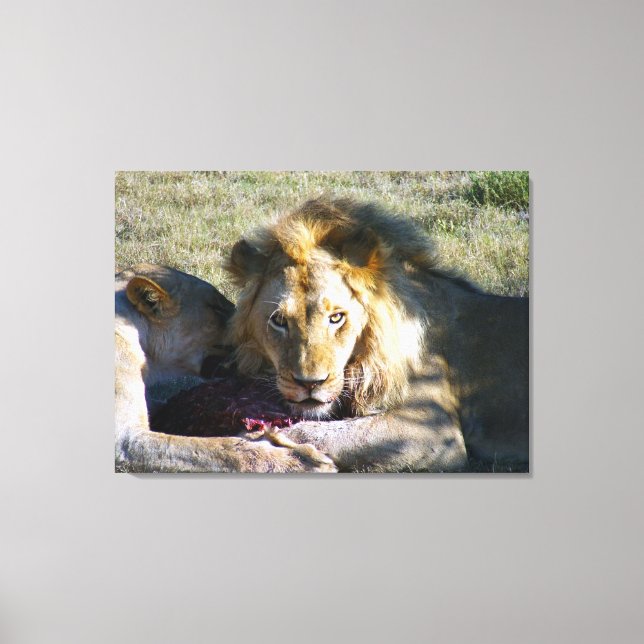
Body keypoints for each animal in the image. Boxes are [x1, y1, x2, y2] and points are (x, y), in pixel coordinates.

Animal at [225, 198, 529, 472]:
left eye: (336, 317)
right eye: (279, 321)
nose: (310, 383)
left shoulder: (433, 430)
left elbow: (322, 432)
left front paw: (259, 438)